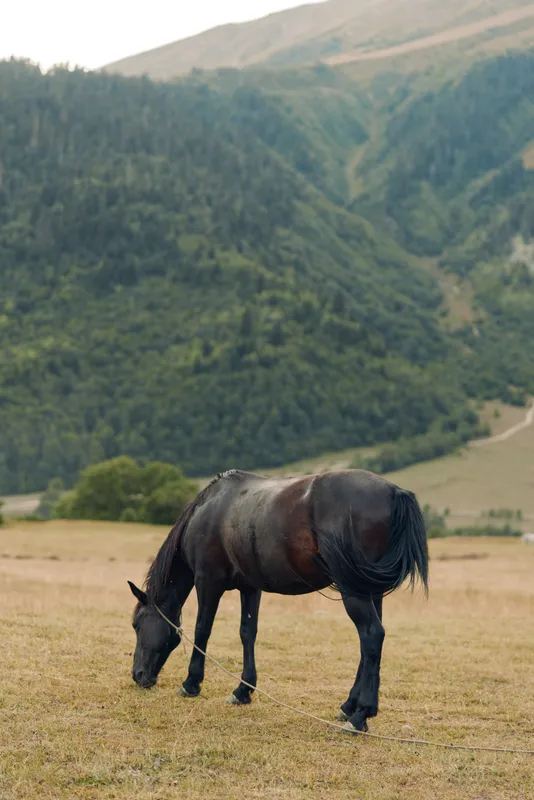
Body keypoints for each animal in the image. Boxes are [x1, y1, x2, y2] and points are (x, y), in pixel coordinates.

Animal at [128, 468, 428, 733]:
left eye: (136, 624)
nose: (138, 676)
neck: (210, 510)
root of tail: (393, 491)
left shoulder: (207, 582)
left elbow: (202, 630)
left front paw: (191, 683)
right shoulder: (250, 588)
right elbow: (247, 633)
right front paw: (243, 690)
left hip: (353, 591)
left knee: (371, 635)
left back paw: (360, 716)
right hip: (369, 591)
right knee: (369, 645)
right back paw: (348, 707)